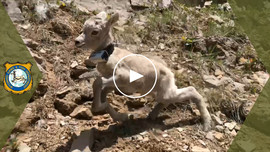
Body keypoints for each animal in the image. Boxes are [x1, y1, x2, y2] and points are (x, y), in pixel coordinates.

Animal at [75, 11, 212, 131]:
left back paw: (207, 124)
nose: (77, 41)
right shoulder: (113, 85)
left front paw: (100, 108)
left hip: (167, 93)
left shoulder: (122, 77)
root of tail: (169, 72)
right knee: (166, 101)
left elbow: (97, 83)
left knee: (191, 91)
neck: (109, 55)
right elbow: (103, 94)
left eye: (95, 32)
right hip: (159, 93)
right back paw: (152, 116)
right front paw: (122, 117)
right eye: (83, 28)